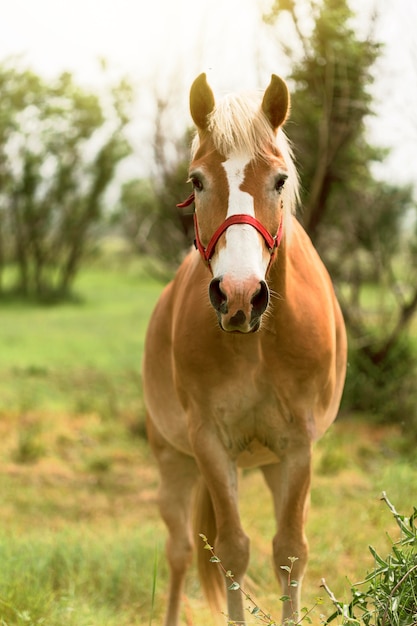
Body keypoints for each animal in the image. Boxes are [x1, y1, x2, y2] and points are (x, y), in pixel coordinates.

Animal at [142, 70, 344, 620]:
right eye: (197, 181)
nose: (238, 296)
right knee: (179, 552)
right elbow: (230, 551)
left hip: (272, 466)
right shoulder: (211, 443)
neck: (256, 346)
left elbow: (290, 552)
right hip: (175, 463)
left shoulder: (298, 447)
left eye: (279, 180)